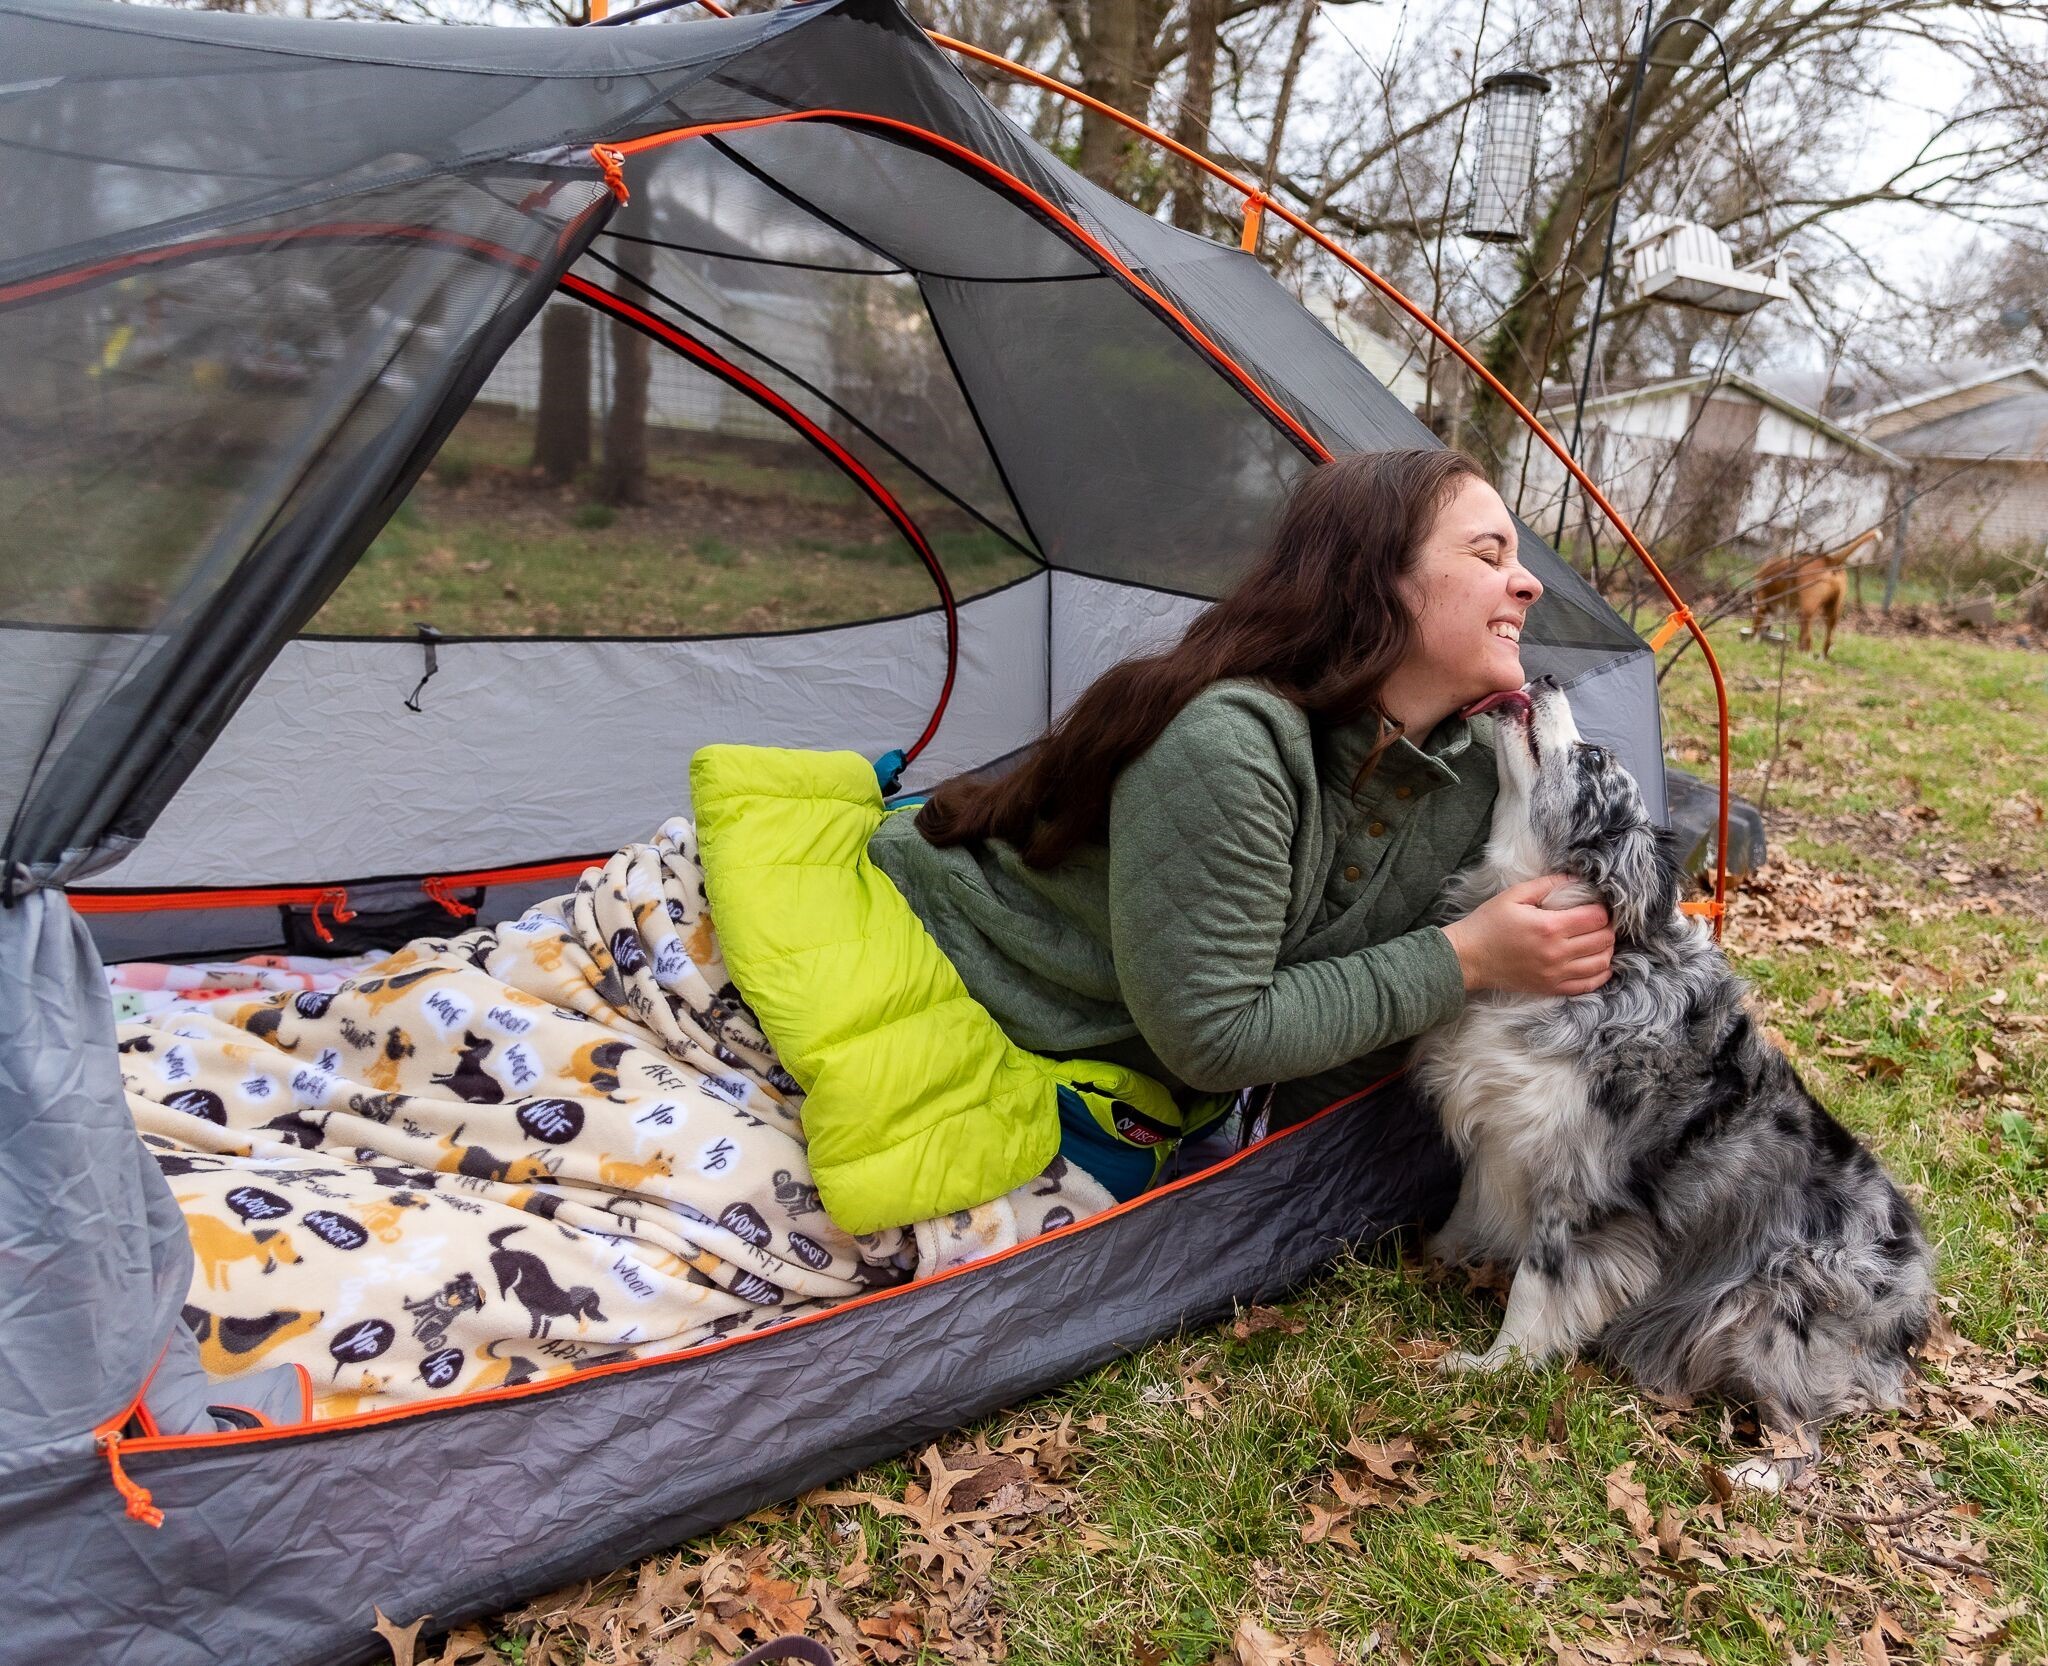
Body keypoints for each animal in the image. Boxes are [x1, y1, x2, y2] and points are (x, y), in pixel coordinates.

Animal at [1417, 684, 1925, 1475]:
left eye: (1594, 759)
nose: (1548, 676)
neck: (1604, 961)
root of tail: (1911, 1305)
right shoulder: (1501, 1133)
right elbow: (1462, 1217)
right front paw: (1425, 1263)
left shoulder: (1577, 1183)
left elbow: (1535, 1285)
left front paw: (1494, 1366)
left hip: (1766, 1308)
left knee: (1805, 1438)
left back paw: (1752, 1474)